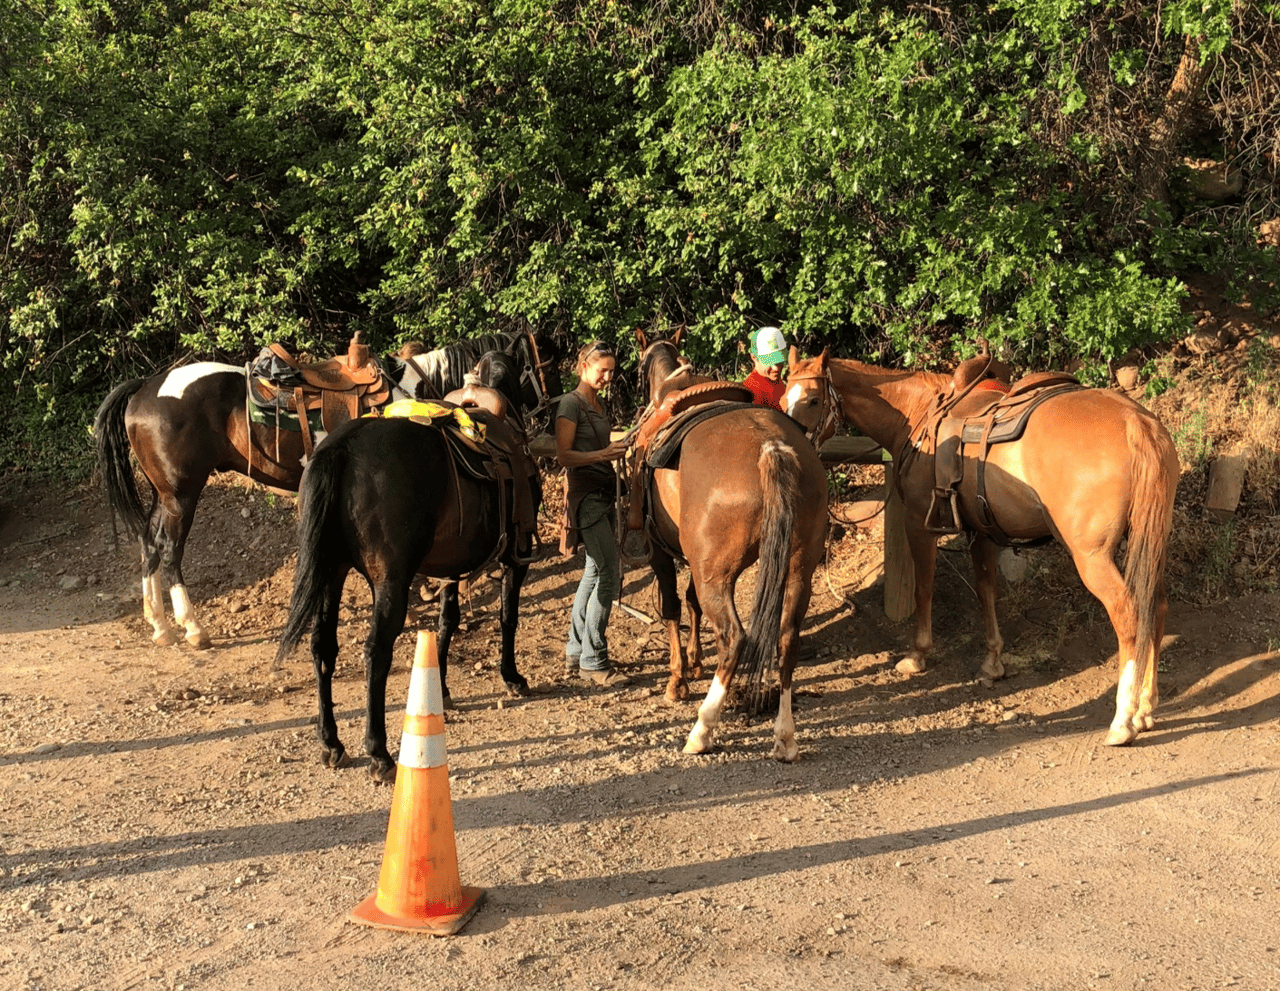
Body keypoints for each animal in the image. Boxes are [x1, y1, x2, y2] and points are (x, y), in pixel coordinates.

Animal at [90, 332, 550, 652]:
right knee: (170, 550)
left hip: (163, 493)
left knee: (148, 543)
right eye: (543, 363)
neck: (409, 392)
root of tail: (144, 387)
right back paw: (193, 628)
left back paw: (160, 626)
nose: (545, 413)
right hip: (182, 494)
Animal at [275, 350, 540, 783]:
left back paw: (331, 742)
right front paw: (512, 677)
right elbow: (508, 616)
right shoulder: (515, 556)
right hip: (391, 582)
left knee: (322, 647)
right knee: (375, 652)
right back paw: (379, 752)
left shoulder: (451, 565)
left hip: (332, 572)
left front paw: (443, 690)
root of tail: (340, 449)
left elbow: (447, 621)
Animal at [629, 332, 829, 763]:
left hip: (716, 576)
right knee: (787, 639)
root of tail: (772, 448)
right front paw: (694, 662)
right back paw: (785, 738)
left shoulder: (660, 551)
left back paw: (702, 730)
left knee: (735, 639)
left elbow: (673, 605)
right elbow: (690, 602)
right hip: (797, 570)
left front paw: (678, 679)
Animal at [778, 348, 1177, 747]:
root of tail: (1135, 421)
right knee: (1155, 608)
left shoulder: (919, 524)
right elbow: (986, 590)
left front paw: (918, 654)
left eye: (813, 400)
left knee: (1128, 614)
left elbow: (924, 589)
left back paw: (1123, 720)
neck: (918, 413)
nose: (796, 447)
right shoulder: (982, 532)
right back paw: (1145, 707)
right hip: (1151, 544)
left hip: (1091, 557)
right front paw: (993, 662)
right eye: (783, 400)